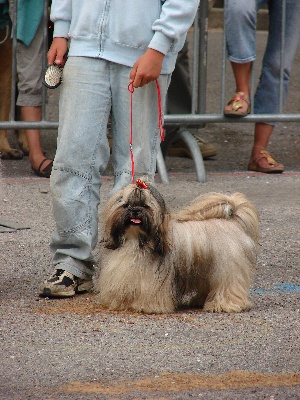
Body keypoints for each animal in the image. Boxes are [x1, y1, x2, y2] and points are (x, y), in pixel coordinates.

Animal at [95, 180, 258, 314]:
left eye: (145, 206)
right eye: (126, 205)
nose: (135, 210)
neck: (136, 240)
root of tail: (233, 221)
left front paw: (148, 307)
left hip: (226, 268)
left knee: (229, 285)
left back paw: (225, 305)